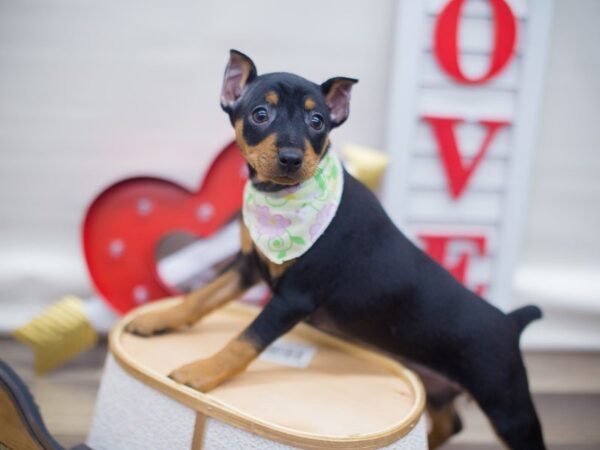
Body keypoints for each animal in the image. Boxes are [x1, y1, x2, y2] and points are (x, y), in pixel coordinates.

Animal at [129, 50, 548, 450]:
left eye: (318, 121)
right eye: (260, 114)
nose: (292, 158)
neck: (279, 200)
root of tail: (511, 323)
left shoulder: (294, 298)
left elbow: (245, 340)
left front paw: (201, 373)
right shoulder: (246, 267)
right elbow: (200, 298)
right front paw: (156, 320)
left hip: (507, 404)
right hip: (437, 385)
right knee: (452, 422)